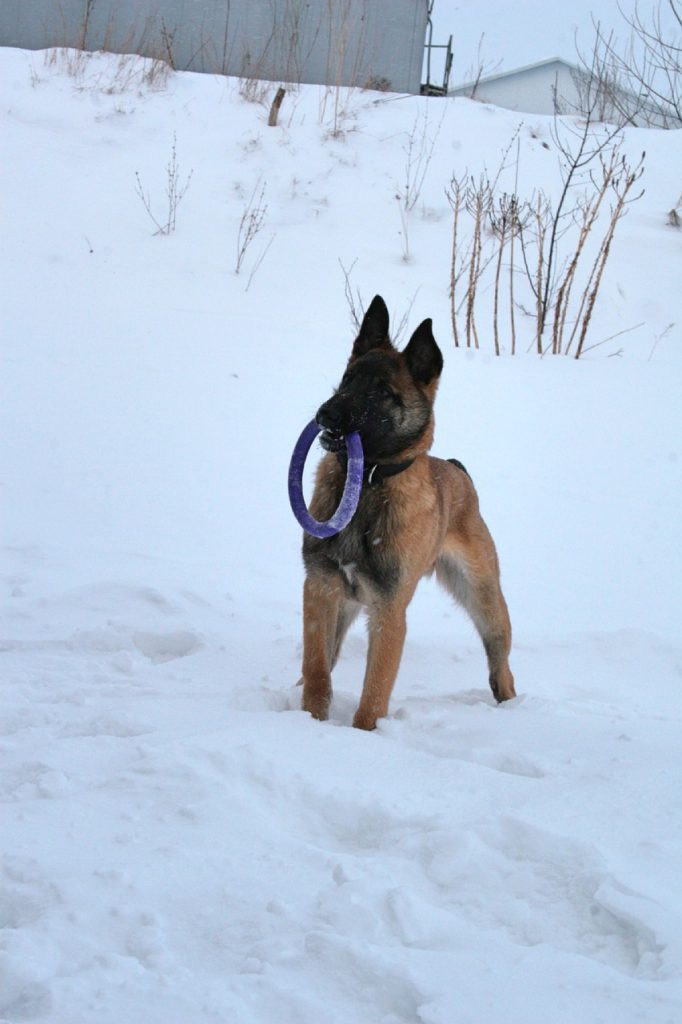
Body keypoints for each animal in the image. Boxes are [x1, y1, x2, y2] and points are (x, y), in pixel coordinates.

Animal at [294, 294, 512, 729]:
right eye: (348, 379)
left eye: (382, 391)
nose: (325, 414)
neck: (368, 481)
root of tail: (457, 470)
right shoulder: (321, 590)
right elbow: (317, 668)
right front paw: (311, 718)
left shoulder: (389, 612)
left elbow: (375, 691)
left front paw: (363, 734)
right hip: (346, 607)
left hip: (485, 600)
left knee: (501, 662)